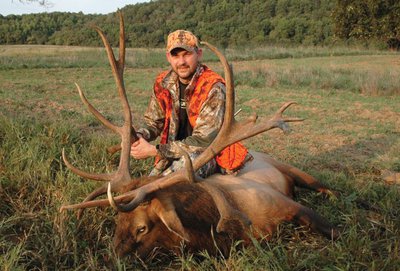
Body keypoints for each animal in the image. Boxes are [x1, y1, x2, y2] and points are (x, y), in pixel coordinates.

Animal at [61, 12, 340, 262]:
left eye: (142, 227)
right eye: (118, 222)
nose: (112, 259)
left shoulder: (284, 203)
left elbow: (334, 230)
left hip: (289, 168)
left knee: (324, 187)